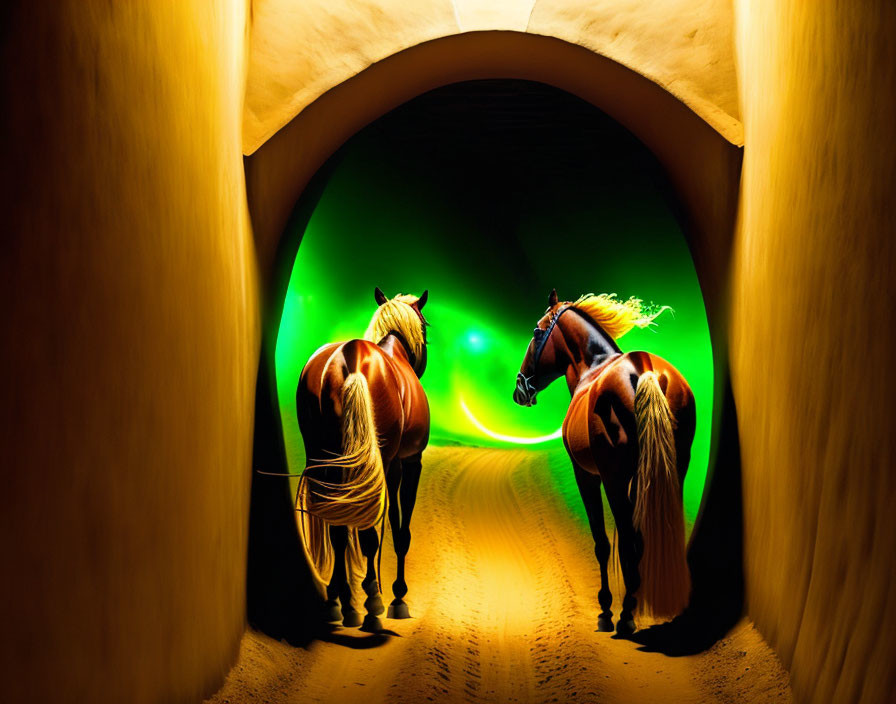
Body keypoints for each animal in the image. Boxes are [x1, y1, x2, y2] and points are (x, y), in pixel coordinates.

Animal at [298, 286, 430, 632]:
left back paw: (339, 602)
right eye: (426, 326)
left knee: (339, 529)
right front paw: (397, 596)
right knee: (367, 530)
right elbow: (399, 529)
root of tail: (351, 358)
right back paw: (371, 602)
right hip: (375, 463)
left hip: (325, 459)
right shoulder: (408, 462)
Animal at [512, 288, 692, 636]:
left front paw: (606, 609)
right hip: (674, 471)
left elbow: (603, 542)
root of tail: (645, 370)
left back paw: (624, 616)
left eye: (537, 332)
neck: (593, 368)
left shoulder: (588, 476)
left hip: (613, 479)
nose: (520, 387)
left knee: (626, 540)